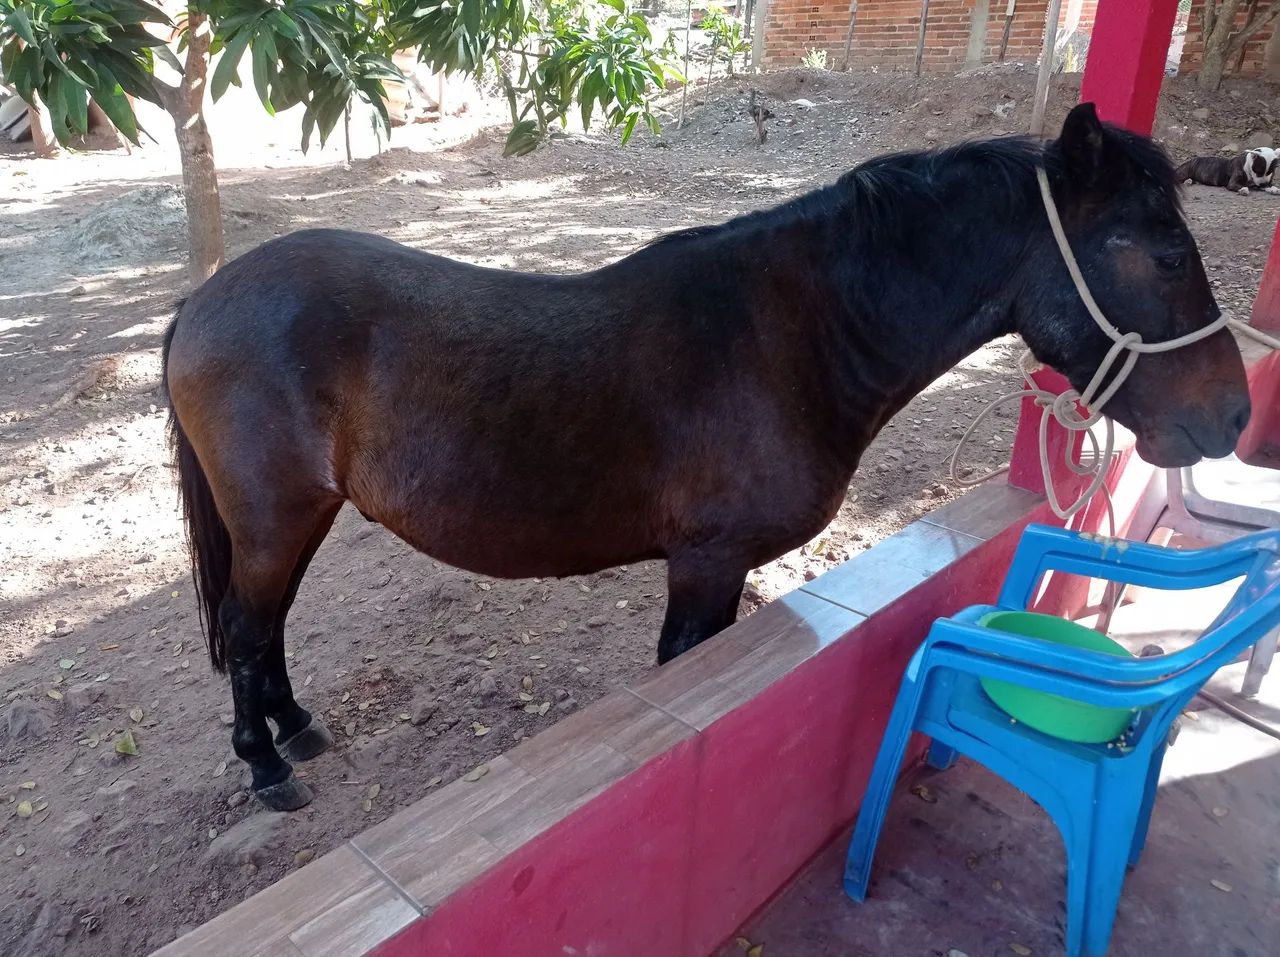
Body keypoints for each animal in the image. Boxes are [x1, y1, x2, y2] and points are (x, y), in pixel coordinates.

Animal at [162, 103, 1251, 811]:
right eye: (1163, 255)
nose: (1234, 414)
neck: (793, 337)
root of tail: (204, 300)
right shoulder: (706, 565)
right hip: (275, 519)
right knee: (248, 629)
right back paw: (266, 768)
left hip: (295, 519)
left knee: (266, 628)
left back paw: (296, 728)